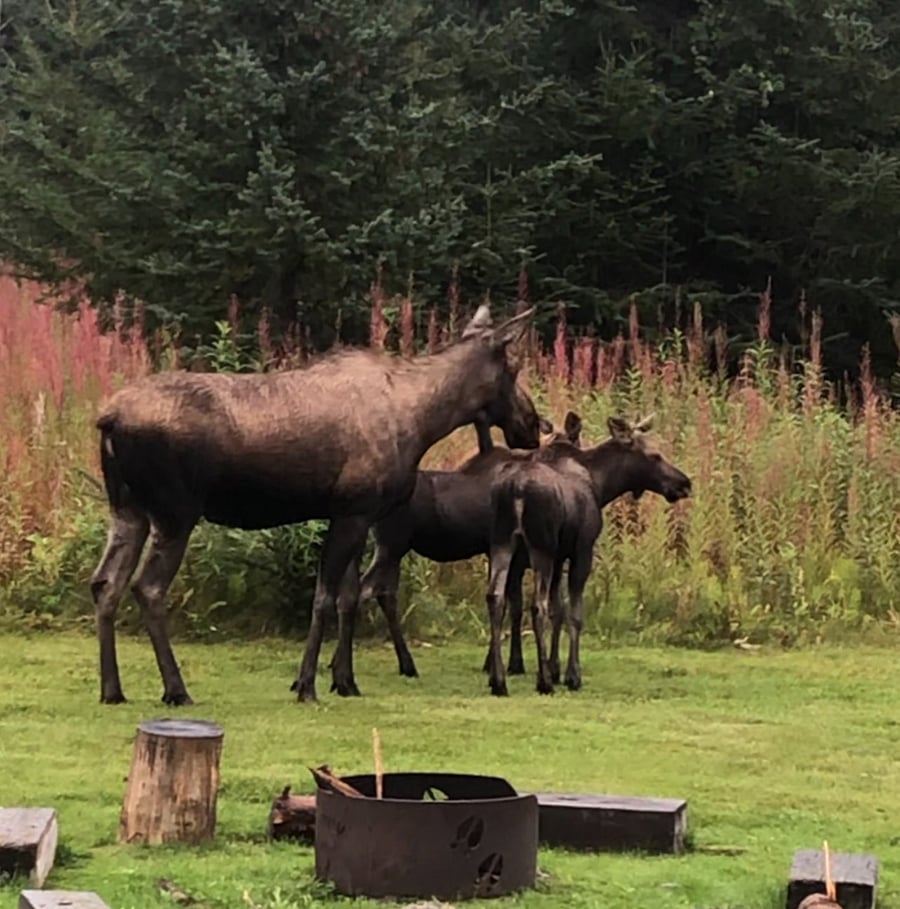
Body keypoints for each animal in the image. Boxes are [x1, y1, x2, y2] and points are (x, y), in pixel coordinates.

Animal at [89, 303, 538, 706]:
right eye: (513, 368)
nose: (536, 424)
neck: (424, 421)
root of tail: (107, 419)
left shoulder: (357, 514)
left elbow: (348, 597)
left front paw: (345, 681)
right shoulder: (352, 511)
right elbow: (324, 598)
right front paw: (307, 684)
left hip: (128, 511)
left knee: (104, 583)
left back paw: (112, 690)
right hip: (175, 513)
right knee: (147, 587)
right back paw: (176, 689)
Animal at [360, 411, 583, 680]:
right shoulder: (509, 554)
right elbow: (509, 605)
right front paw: (499, 664)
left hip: (393, 550)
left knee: (386, 595)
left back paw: (405, 664)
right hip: (392, 546)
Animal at [485, 415, 692, 697]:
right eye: (655, 455)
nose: (685, 483)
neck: (602, 484)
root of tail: (515, 489)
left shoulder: (560, 556)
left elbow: (559, 610)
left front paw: (555, 667)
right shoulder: (582, 550)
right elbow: (575, 614)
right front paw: (571, 675)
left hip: (502, 544)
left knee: (495, 599)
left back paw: (498, 680)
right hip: (540, 548)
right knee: (537, 605)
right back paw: (543, 682)